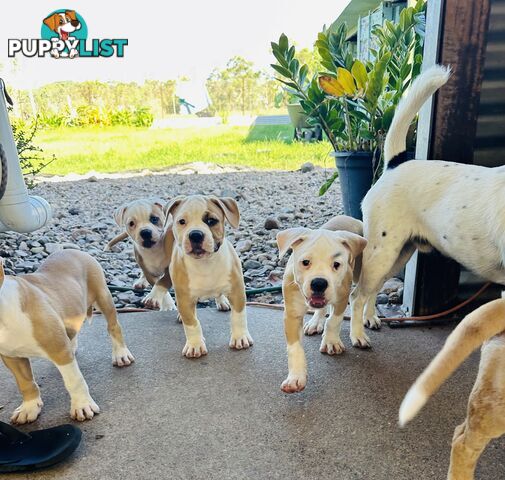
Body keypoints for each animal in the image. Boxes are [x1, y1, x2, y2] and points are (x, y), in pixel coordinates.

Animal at [0, 251, 134, 424]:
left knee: (114, 326)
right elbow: (25, 383)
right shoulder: (12, 357)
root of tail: (73, 250)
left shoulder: (59, 349)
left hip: (103, 296)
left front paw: (82, 405)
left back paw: (121, 354)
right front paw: (29, 407)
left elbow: (74, 381)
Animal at [166, 194, 251, 356]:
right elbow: (191, 323)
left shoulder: (237, 291)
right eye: (182, 221)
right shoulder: (185, 298)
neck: (205, 264)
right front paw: (195, 345)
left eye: (211, 221)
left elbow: (238, 316)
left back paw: (222, 302)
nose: (195, 234)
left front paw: (240, 337)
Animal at [276, 216, 366, 392]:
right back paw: (315, 322)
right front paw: (295, 377)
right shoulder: (291, 314)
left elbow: (334, 321)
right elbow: (295, 348)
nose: (319, 283)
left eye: (336, 264)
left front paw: (331, 341)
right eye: (305, 262)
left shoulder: (341, 297)